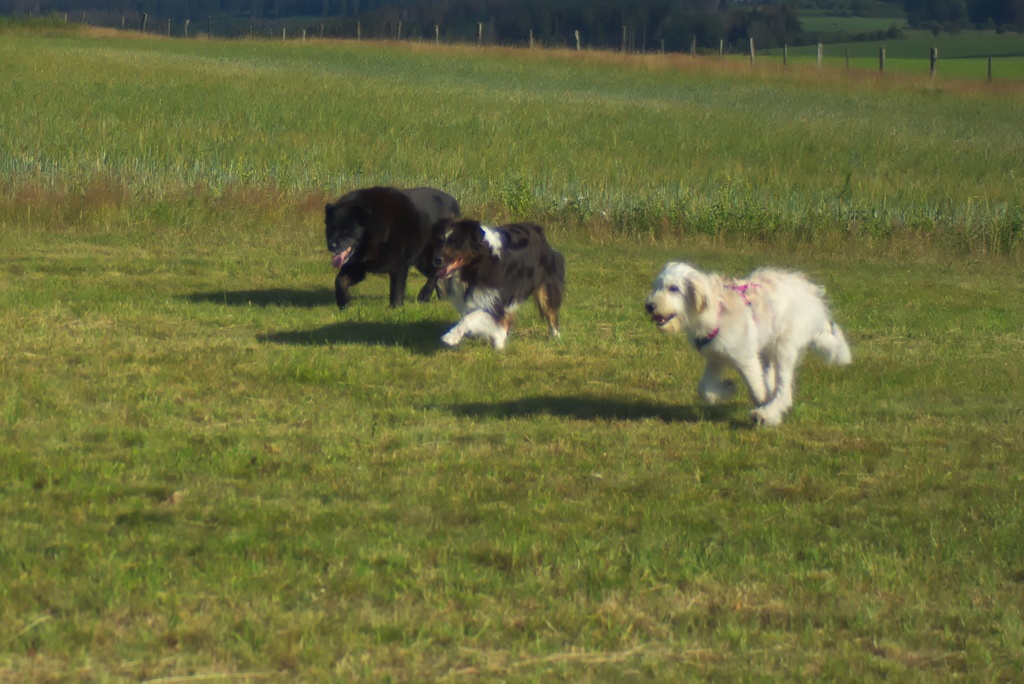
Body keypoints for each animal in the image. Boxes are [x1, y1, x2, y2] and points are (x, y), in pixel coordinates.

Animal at [323, 184, 460, 307]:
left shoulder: (399, 264)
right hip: (421, 261)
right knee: (440, 275)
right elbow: (339, 281)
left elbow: (396, 289)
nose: (331, 245)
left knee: (436, 273)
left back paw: (424, 295)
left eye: (347, 230)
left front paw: (395, 308)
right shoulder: (357, 266)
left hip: (430, 256)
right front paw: (344, 302)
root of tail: (454, 203)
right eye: (332, 228)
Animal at [428, 216, 565, 350]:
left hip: (545, 285)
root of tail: (537, 230)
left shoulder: (496, 298)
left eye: (456, 242)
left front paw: (450, 337)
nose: (436, 259)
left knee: (550, 311)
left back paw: (556, 337)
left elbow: (471, 317)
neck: (477, 264)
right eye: (440, 241)